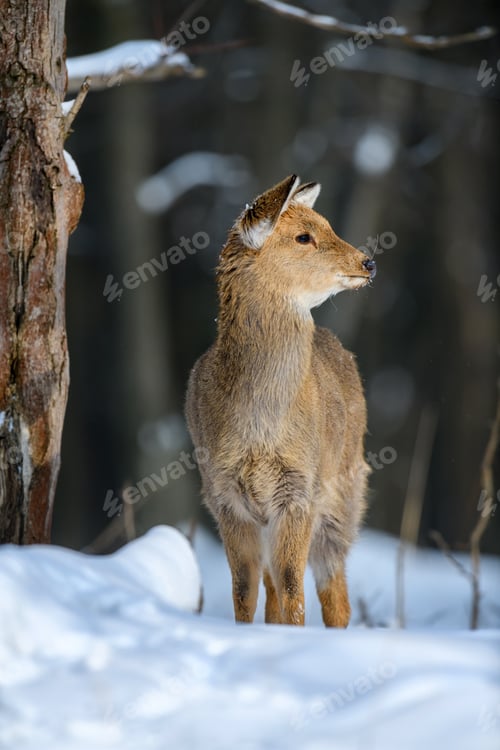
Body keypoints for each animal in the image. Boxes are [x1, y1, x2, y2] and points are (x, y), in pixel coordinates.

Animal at [186, 175, 375, 627]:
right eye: (303, 236)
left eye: (328, 225)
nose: (368, 262)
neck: (260, 427)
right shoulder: (223, 494)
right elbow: (244, 590)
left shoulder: (300, 489)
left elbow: (293, 586)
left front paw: (293, 634)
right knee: (272, 585)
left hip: (345, 490)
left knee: (334, 590)